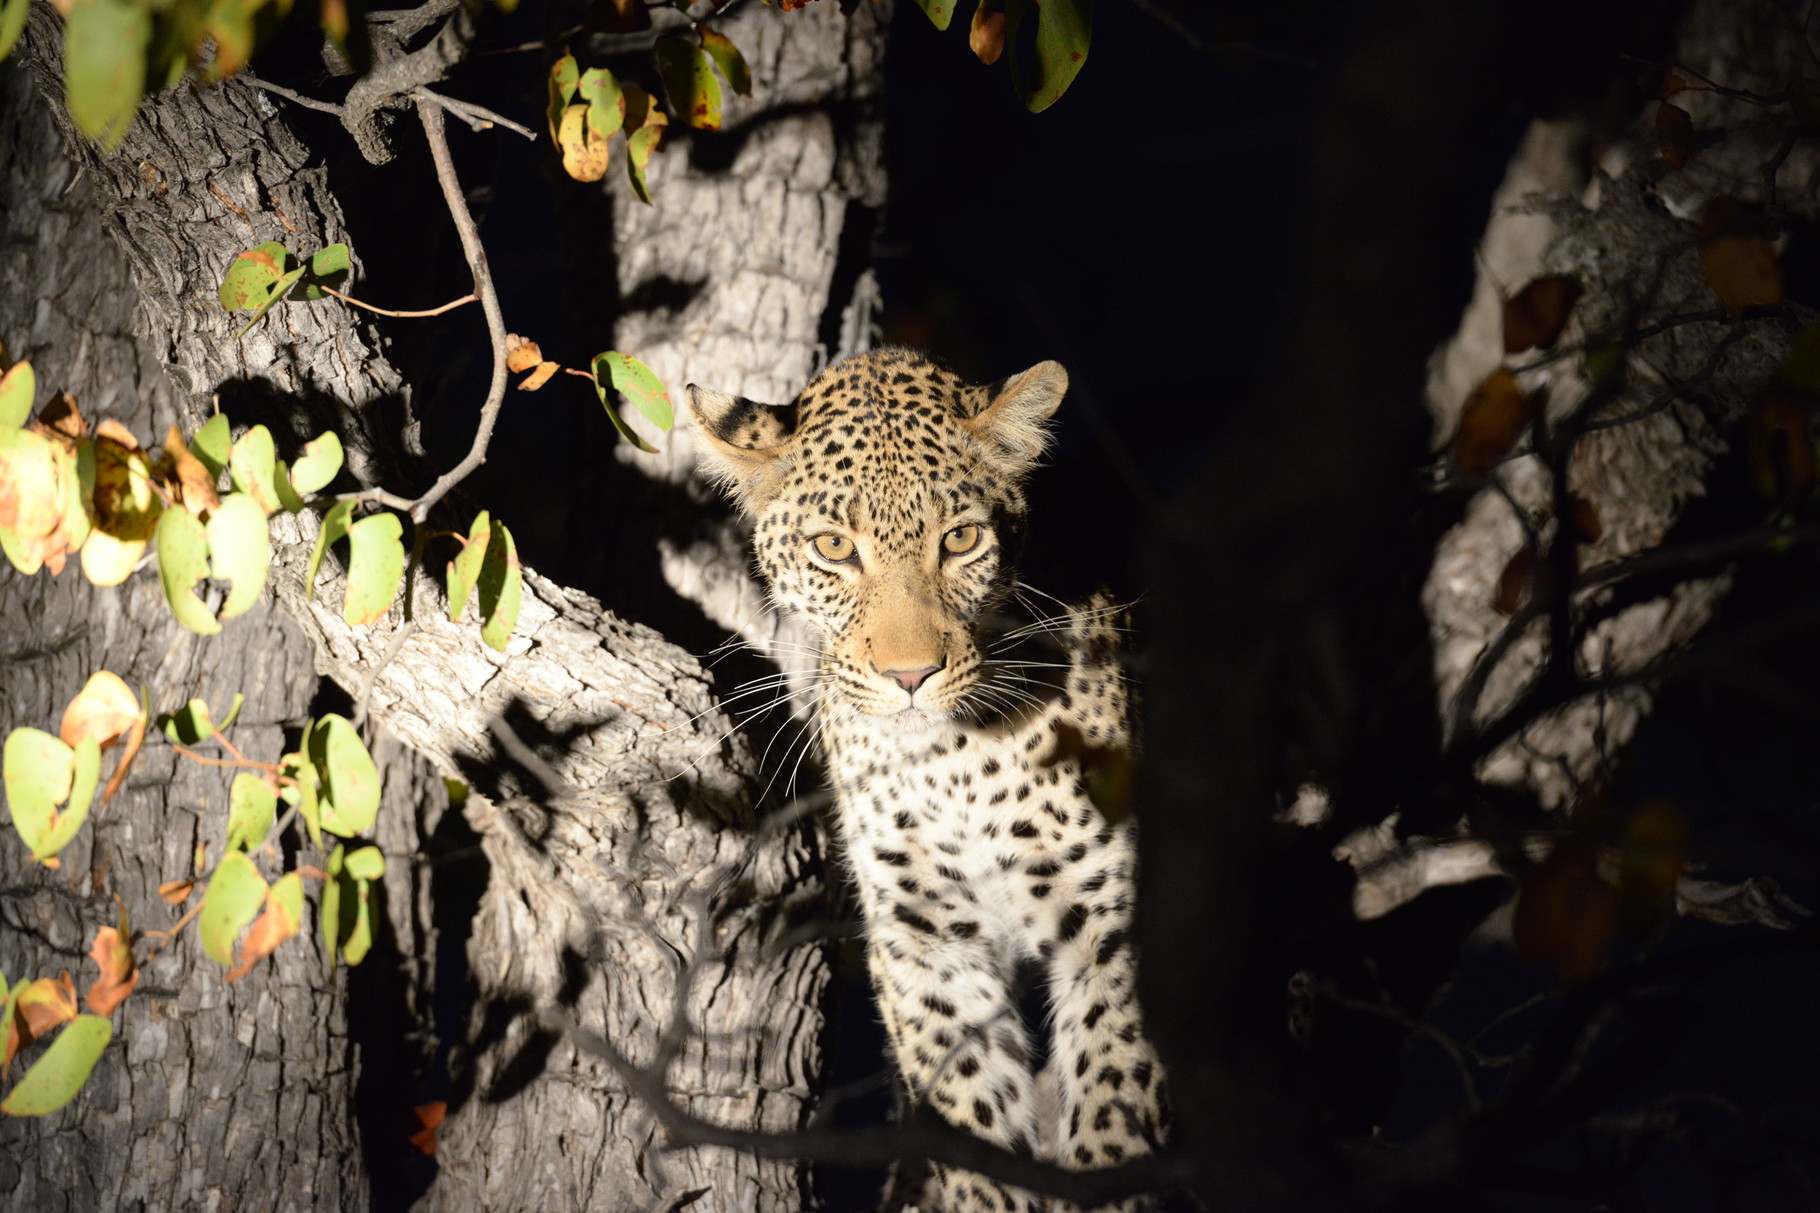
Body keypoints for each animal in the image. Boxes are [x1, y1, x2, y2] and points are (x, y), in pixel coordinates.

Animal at [684, 344, 1164, 1202]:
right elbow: (970, 1116)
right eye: (834, 548)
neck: (955, 765)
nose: (910, 675)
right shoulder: (925, 935)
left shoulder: (1108, 920)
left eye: (963, 539)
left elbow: (1116, 1094)